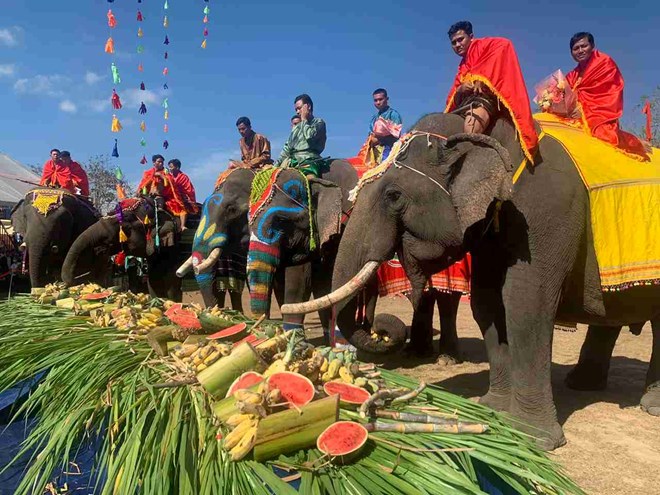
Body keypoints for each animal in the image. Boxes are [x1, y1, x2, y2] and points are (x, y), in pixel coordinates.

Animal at [288, 113, 660, 454]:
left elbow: (525, 301)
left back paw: (647, 405)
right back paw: (584, 385)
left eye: (393, 195)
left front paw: (533, 439)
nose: (380, 330)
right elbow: (486, 300)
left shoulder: (548, 209)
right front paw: (491, 408)